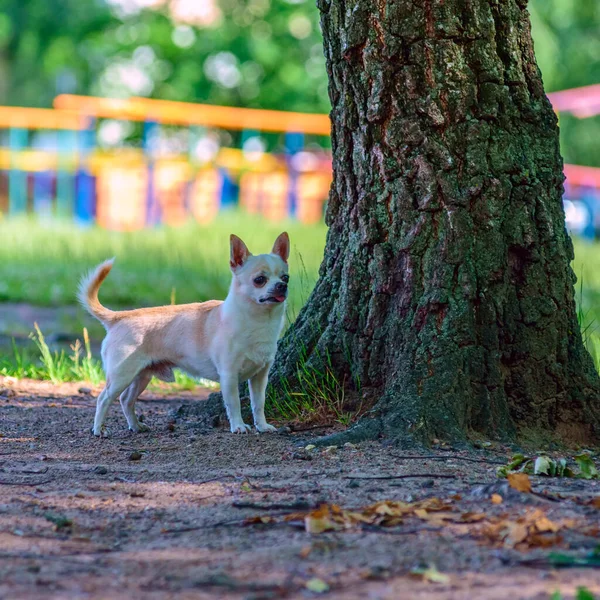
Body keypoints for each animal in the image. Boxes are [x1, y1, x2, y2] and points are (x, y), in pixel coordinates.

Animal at [78, 233, 290, 436]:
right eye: (259, 280)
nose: (282, 286)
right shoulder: (229, 376)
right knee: (103, 399)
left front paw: (262, 426)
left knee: (126, 400)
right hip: (121, 375)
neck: (259, 322)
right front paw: (238, 426)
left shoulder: (260, 377)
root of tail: (119, 317)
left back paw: (136, 426)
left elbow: (258, 404)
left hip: (142, 375)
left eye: (286, 277)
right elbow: (234, 404)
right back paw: (99, 429)